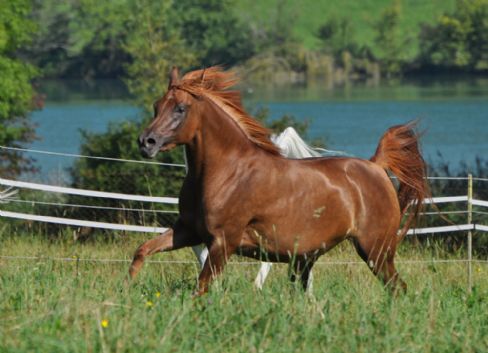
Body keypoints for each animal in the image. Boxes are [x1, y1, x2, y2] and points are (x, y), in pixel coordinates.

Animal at [129, 66, 428, 294]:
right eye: (157, 106)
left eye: (180, 108)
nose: (146, 142)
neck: (227, 172)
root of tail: (376, 166)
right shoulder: (188, 231)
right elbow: (142, 251)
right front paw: (127, 291)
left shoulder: (223, 242)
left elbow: (200, 288)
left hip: (375, 251)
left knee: (397, 288)